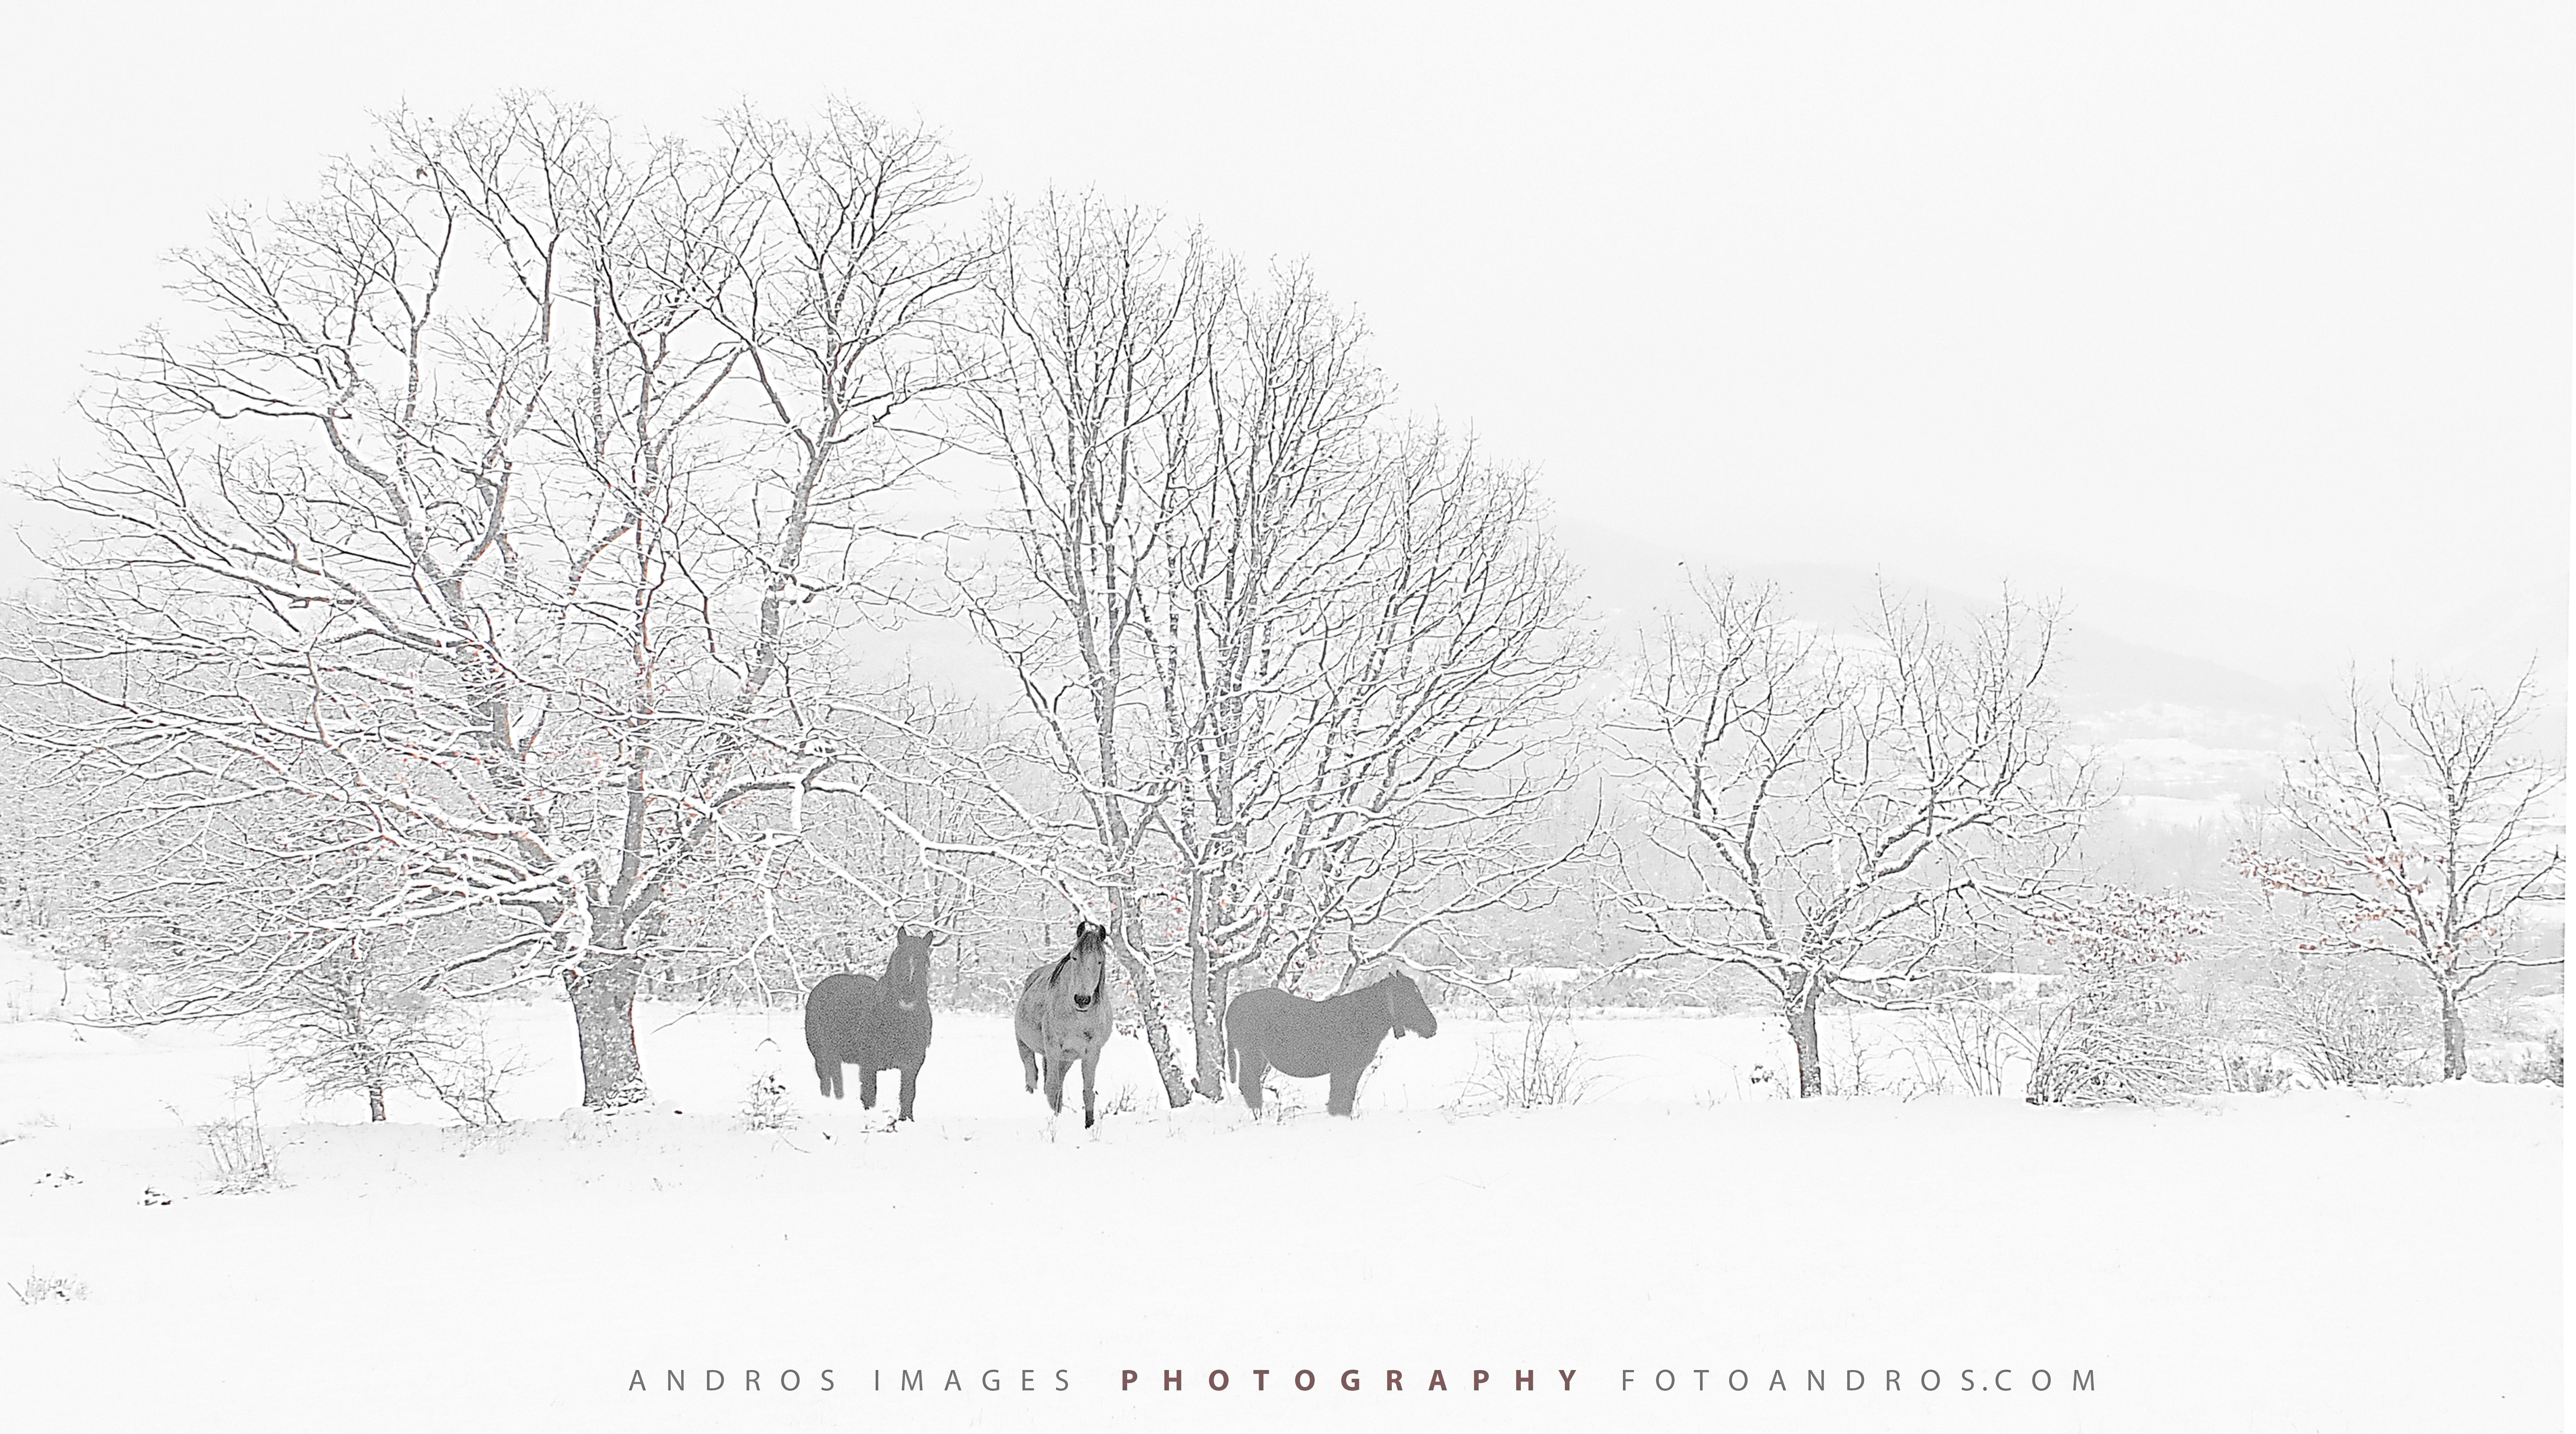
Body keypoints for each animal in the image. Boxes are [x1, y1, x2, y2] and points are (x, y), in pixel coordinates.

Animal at [798, 921, 943, 1122]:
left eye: (925, 962)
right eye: (899, 959)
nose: (908, 994)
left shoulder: (912, 1064)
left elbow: (908, 1095)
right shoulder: (868, 1064)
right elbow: (869, 1096)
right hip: (823, 1055)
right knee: (826, 1083)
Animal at [1010, 916, 1113, 1128]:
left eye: (1100, 961)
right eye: (1074, 958)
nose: (1082, 1000)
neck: (1078, 1019)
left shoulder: (1092, 1053)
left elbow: (1088, 1092)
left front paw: (1089, 1124)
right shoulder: (1053, 1049)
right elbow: (1052, 1089)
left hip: (1066, 1060)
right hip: (1025, 1046)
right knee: (1033, 1076)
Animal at [1221, 968, 1442, 1112]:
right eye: (1409, 998)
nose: (1433, 1027)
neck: (1363, 1019)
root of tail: (1233, 1006)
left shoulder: (1354, 1071)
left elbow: (1345, 1104)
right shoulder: (1342, 1070)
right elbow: (1337, 1103)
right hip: (1252, 1055)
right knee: (1250, 1086)